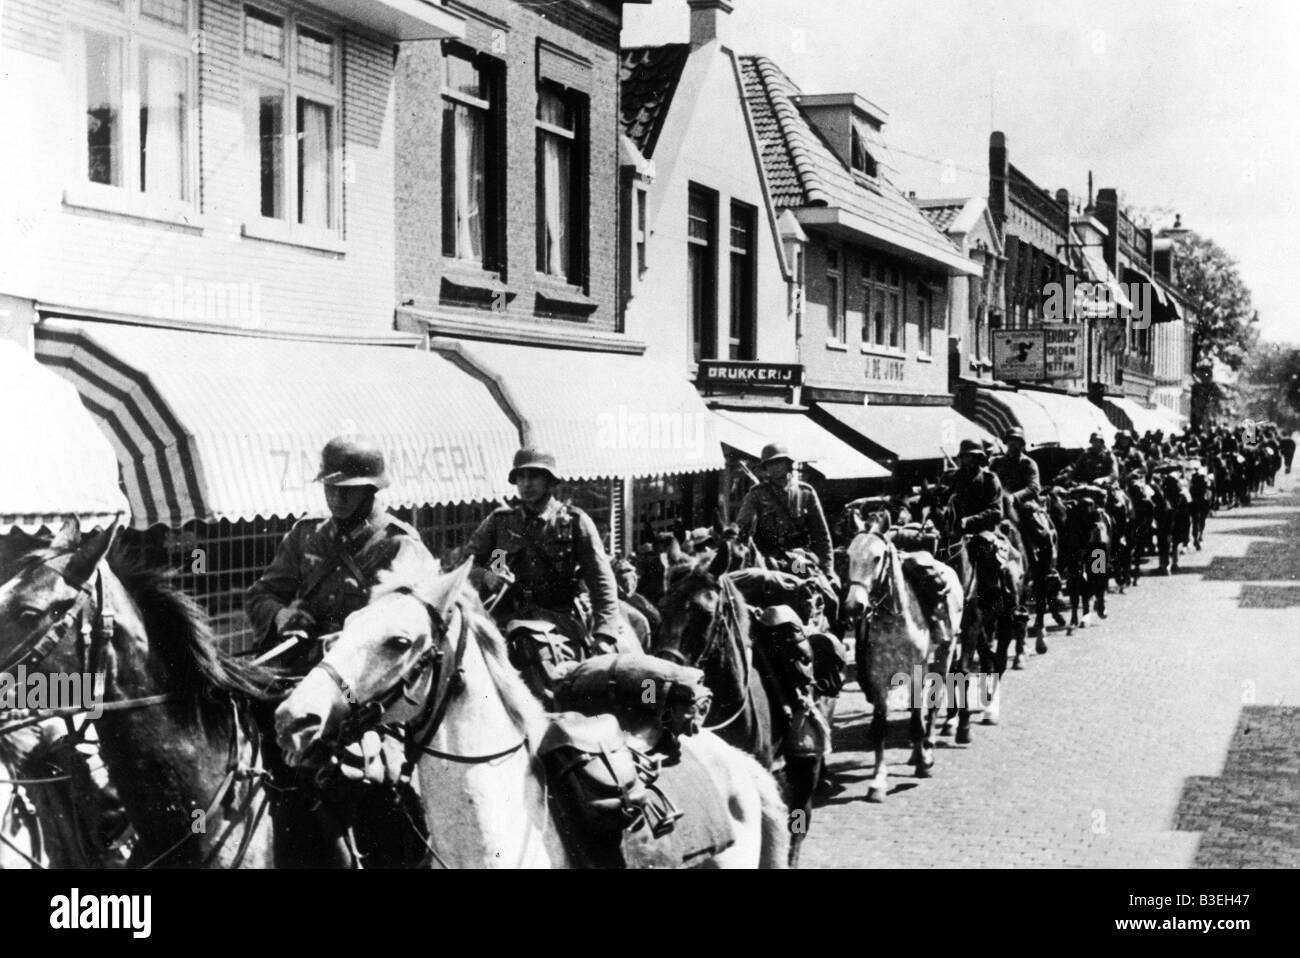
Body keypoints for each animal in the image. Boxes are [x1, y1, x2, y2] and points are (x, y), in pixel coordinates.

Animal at [837, 514, 961, 800]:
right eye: (848, 556)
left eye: (877, 558)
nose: (854, 606)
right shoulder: (877, 678)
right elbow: (880, 727)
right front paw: (878, 781)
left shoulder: (916, 672)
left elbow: (917, 719)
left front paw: (924, 763)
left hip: (944, 655)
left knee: (934, 704)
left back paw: (928, 746)